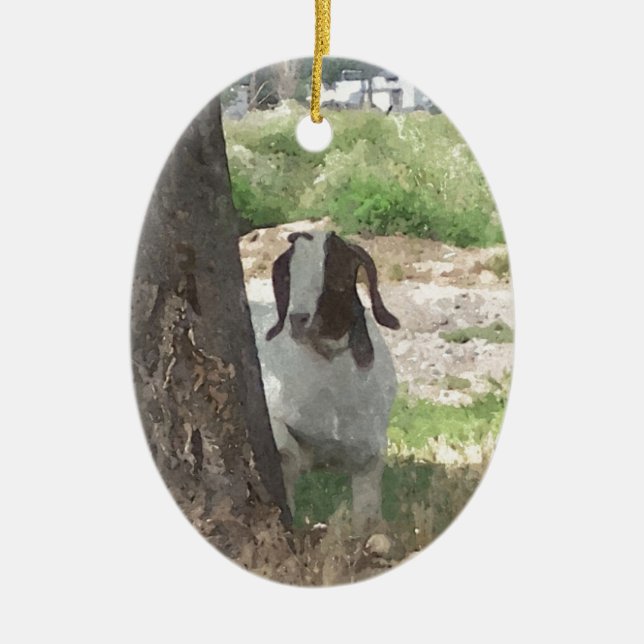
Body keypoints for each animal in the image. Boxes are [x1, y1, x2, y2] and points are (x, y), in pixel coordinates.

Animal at [249, 231, 400, 531]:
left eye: (334, 275)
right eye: (288, 276)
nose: (298, 319)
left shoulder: (370, 455)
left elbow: (367, 519)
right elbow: (288, 453)